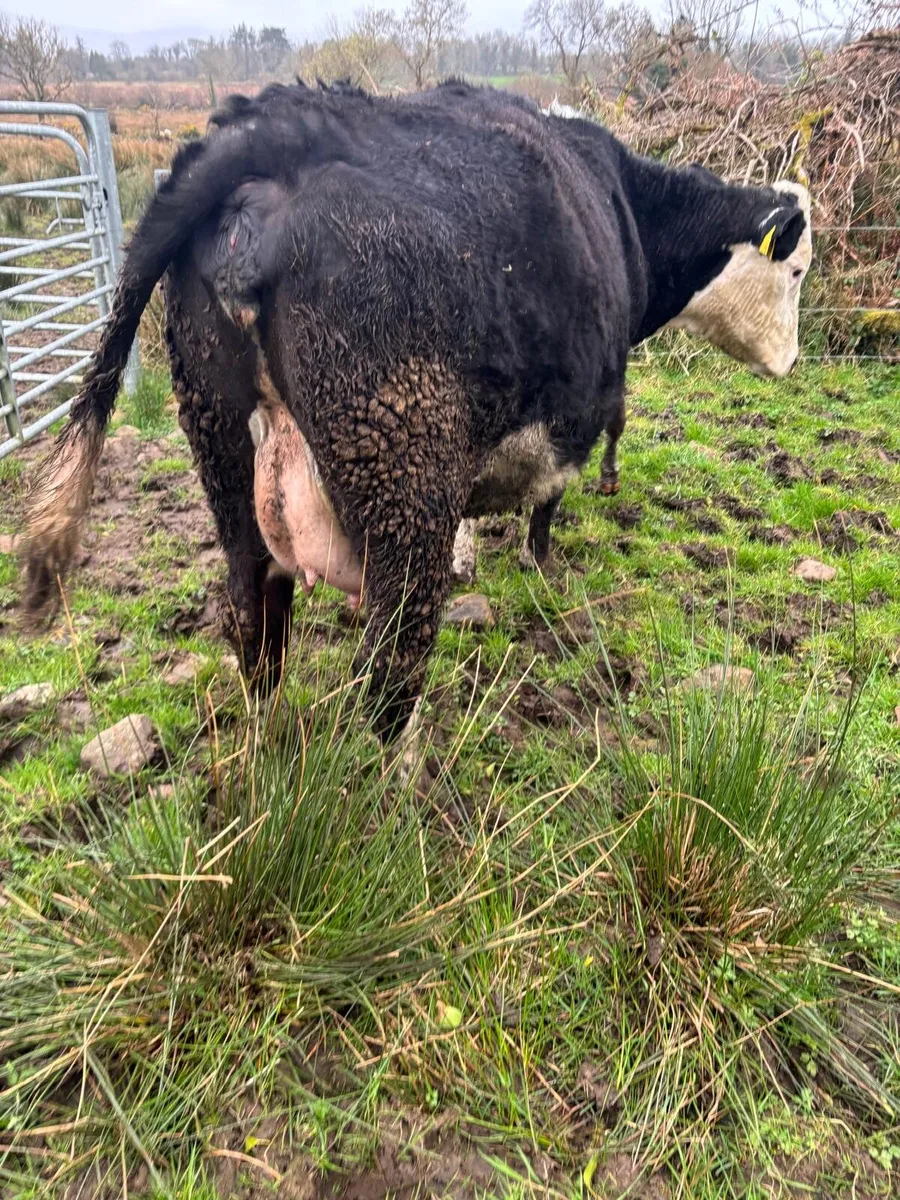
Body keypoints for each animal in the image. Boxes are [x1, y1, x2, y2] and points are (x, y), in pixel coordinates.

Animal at [20, 80, 811, 746]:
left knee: (255, 628)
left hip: (223, 449)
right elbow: (551, 501)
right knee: (388, 669)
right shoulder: (578, 408)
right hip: (402, 475)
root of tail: (275, 127)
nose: (790, 362)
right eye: (798, 270)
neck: (625, 206)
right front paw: (541, 563)